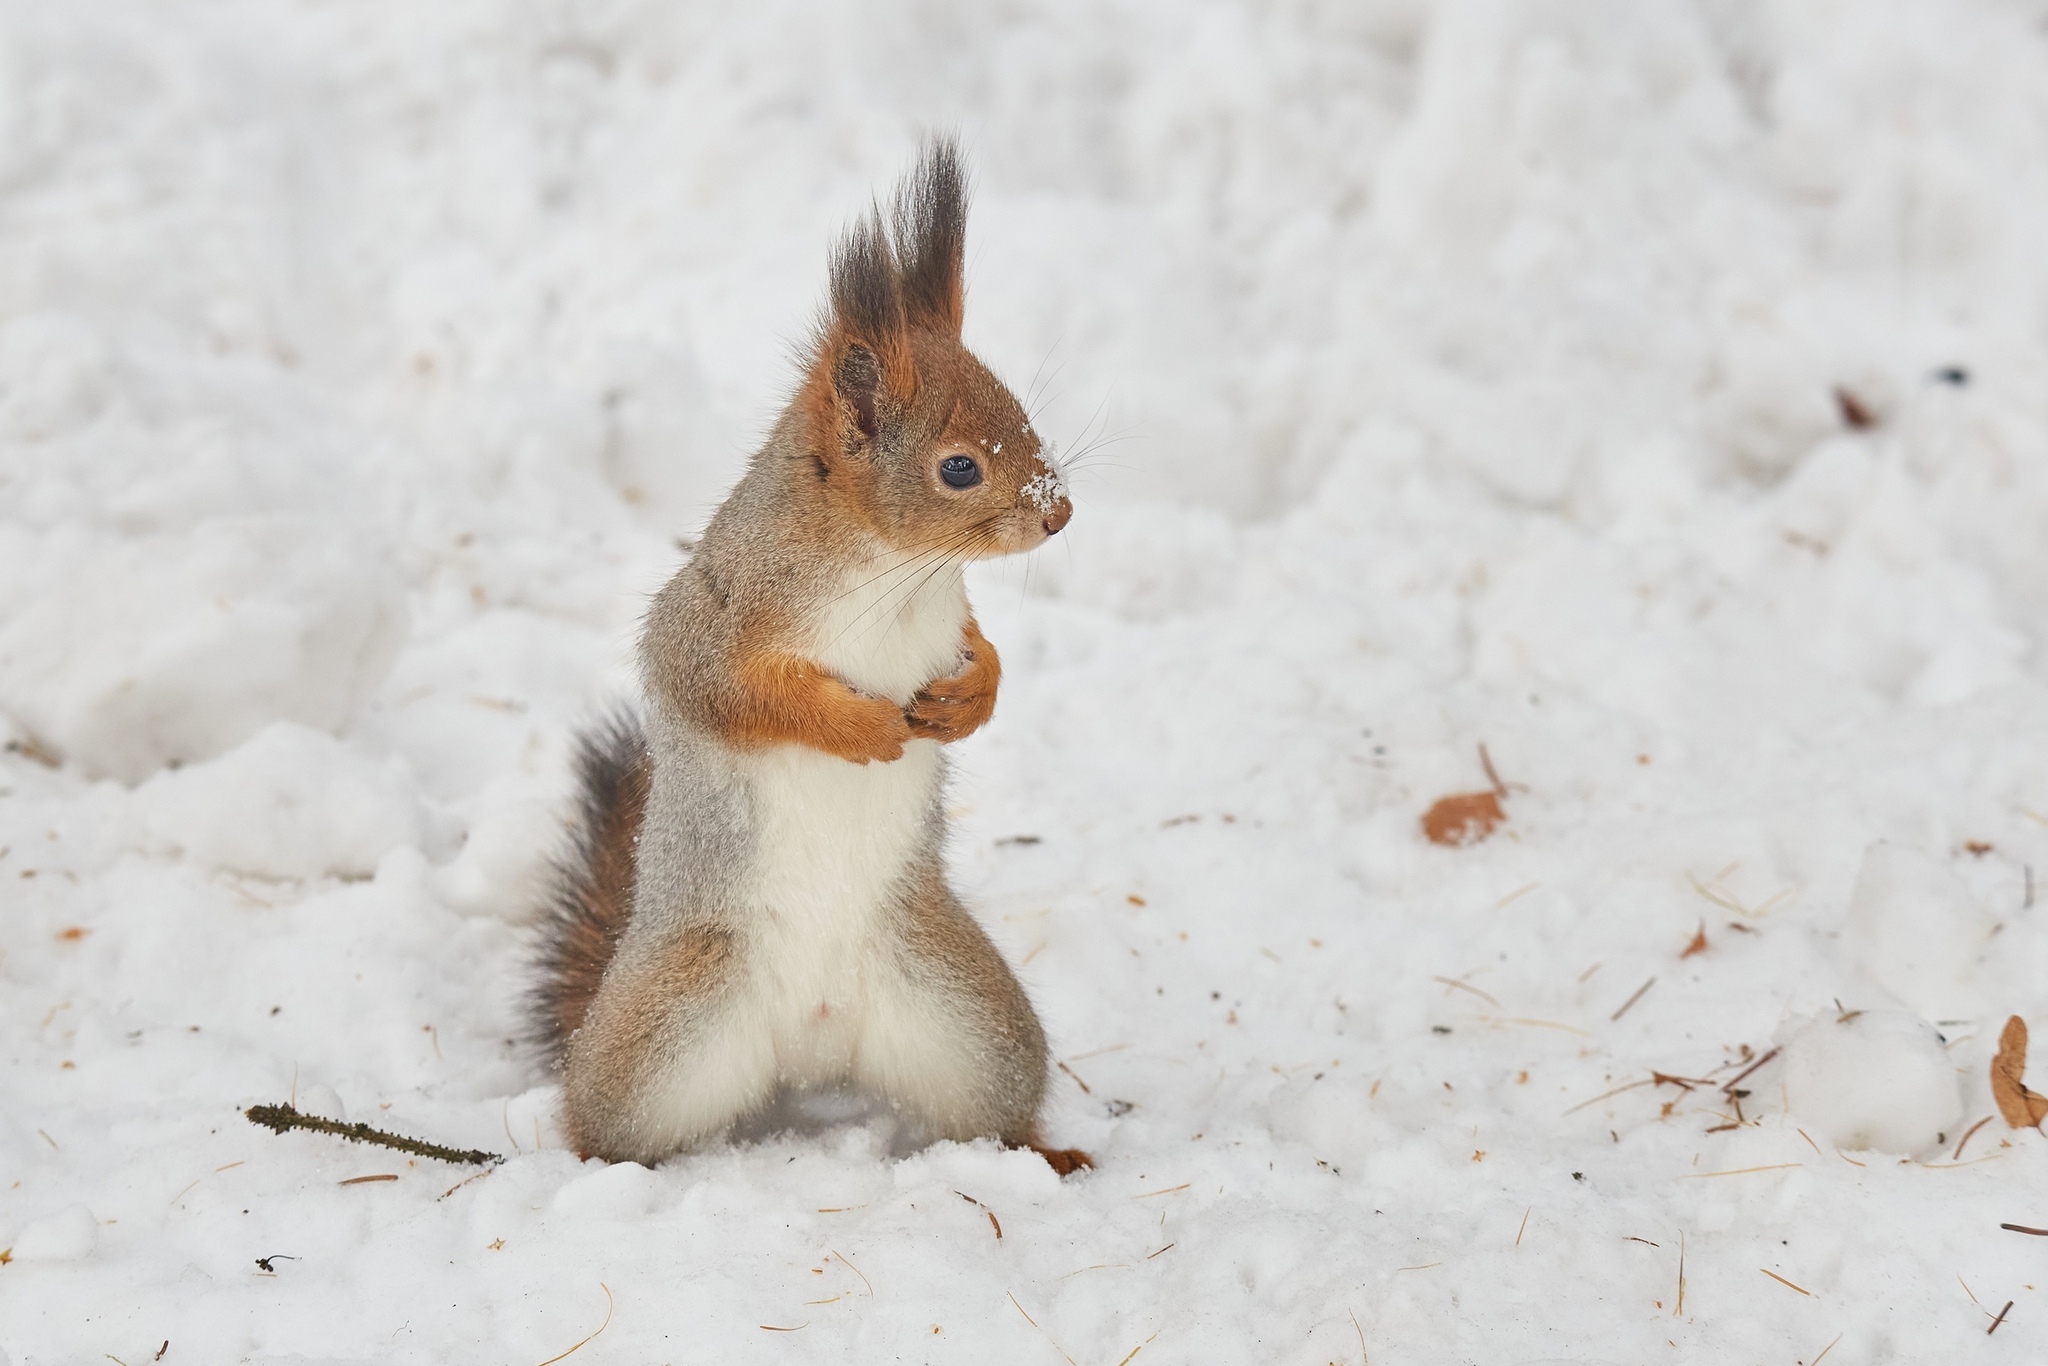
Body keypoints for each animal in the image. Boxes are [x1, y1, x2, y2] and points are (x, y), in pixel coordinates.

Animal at [536, 144, 1097, 1179]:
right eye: (960, 467)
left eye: (1022, 411)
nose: (1059, 512)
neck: (894, 569)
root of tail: (813, 1043)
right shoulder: (711, 622)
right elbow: (723, 688)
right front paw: (861, 724)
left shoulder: (949, 619)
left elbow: (982, 653)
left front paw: (969, 700)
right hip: (668, 1021)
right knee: (602, 1120)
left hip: (970, 1021)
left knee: (999, 1105)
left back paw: (1050, 1156)